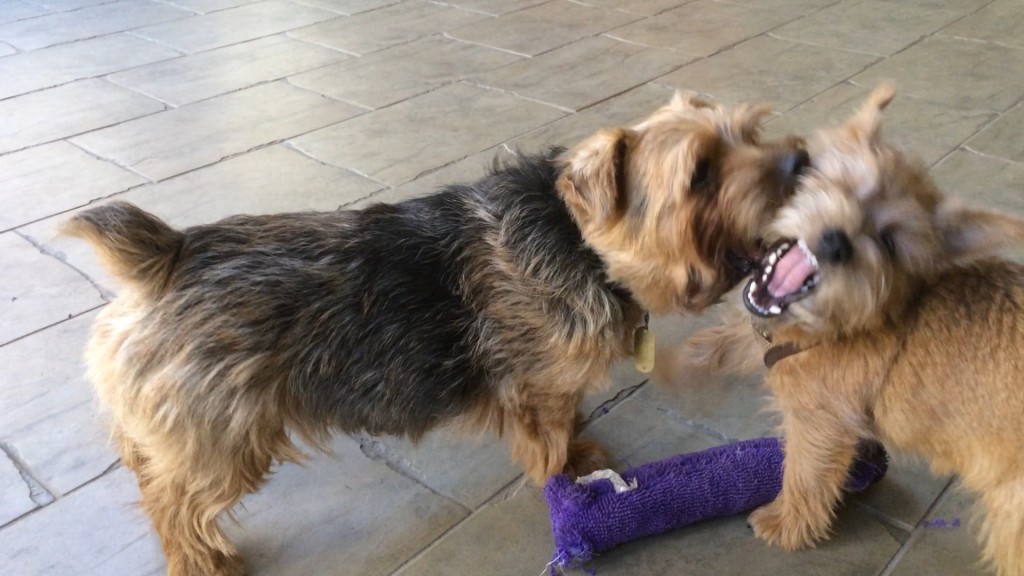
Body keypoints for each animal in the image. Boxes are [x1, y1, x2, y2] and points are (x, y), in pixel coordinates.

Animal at [64, 94, 806, 573]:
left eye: (752, 133)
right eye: (700, 175)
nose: (799, 160)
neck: (582, 242)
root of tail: (165, 255)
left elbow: (570, 417)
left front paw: (581, 449)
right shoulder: (537, 387)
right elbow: (551, 435)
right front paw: (568, 473)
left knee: (145, 458)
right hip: (226, 435)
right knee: (172, 501)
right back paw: (201, 559)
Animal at [675, 86, 1024, 573]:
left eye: (890, 243)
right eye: (837, 183)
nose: (837, 242)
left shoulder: (818, 423)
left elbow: (803, 474)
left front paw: (785, 524)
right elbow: (733, 337)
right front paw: (684, 362)